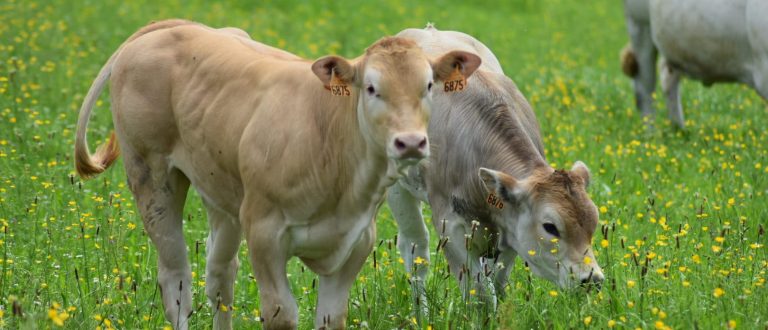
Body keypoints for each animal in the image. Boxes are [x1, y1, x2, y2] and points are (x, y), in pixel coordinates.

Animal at [73, 19, 480, 328]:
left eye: (428, 86)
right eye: (371, 88)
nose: (410, 142)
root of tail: (172, 27)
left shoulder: (356, 243)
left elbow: (331, 317)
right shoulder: (264, 233)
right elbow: (281, 313)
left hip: (220, 194)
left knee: (220, 277)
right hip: (152, 177)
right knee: (177, 283)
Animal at [392, 24, 604, 310]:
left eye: (594, 221)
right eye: (550, 227)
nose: (591, 279)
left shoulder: (510, 230)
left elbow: (498, 281)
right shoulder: (451, 226)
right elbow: (479, 294)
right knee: (415, 249)